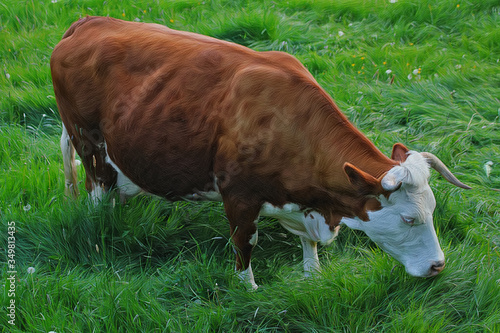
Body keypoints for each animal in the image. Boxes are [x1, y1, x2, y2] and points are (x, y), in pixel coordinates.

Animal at [50, 16, 468, 288]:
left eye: (432, 209)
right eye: (408, 219)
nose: (438, 266)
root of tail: (88, 21)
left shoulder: (302, 203)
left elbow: (308, 244)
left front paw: (313, 275)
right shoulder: (239, 196)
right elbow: (244, 245)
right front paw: (249, 289)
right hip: (89, 145)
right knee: (96, 192)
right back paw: (103, 231)